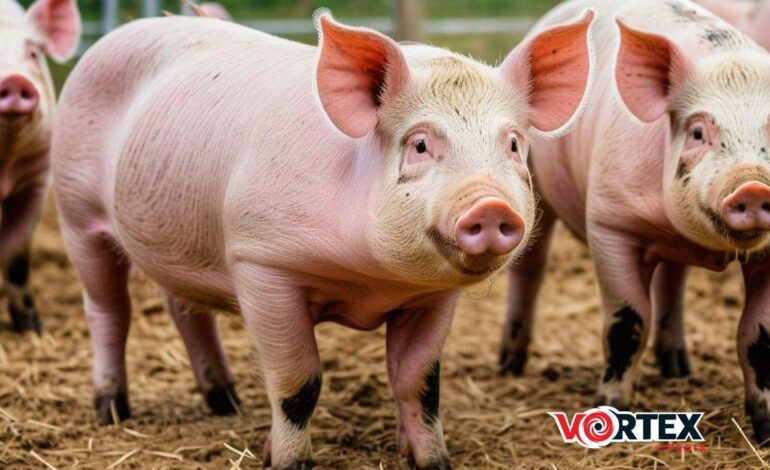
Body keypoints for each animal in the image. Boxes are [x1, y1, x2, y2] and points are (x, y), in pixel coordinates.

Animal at [52, 9, 592, 468]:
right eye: (420, 144)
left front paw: (434, 462)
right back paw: (112, 409)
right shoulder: (261, 264)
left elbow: (420, 383)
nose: (491, 206)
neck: (374, 283)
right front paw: (288, 462)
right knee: (108, 309)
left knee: (183, 308)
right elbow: (299, 384)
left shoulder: (433, 297)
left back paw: (226, 403)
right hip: (76, 214)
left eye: (514, 144)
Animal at [498, 0, 770, 444]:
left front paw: (764, 431)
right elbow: (627, 322)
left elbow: (758, 336)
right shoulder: (609, 223)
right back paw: (509, 366)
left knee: (673, 278)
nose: (752, 185)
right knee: (530, 269)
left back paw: (678, 368)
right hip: (533, 182)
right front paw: (609, 411)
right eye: (698, 132)